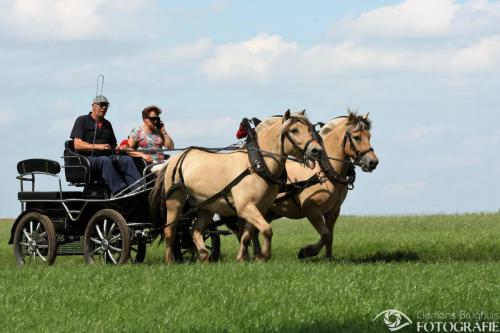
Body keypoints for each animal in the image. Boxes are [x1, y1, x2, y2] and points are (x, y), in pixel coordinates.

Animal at [148, 109, 322, 262]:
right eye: (294, 130)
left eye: (309, 128)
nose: (317, 150)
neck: (256, 165)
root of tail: (174, 159)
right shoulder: (245, 207)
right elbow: (266, 230)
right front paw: (264, 255)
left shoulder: (258, 208)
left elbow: (246, 236)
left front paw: (242, 258)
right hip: (175, 202)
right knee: (170, 231)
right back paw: (170, 261)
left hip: (206, 206)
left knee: (195, 230)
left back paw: (203, 256)